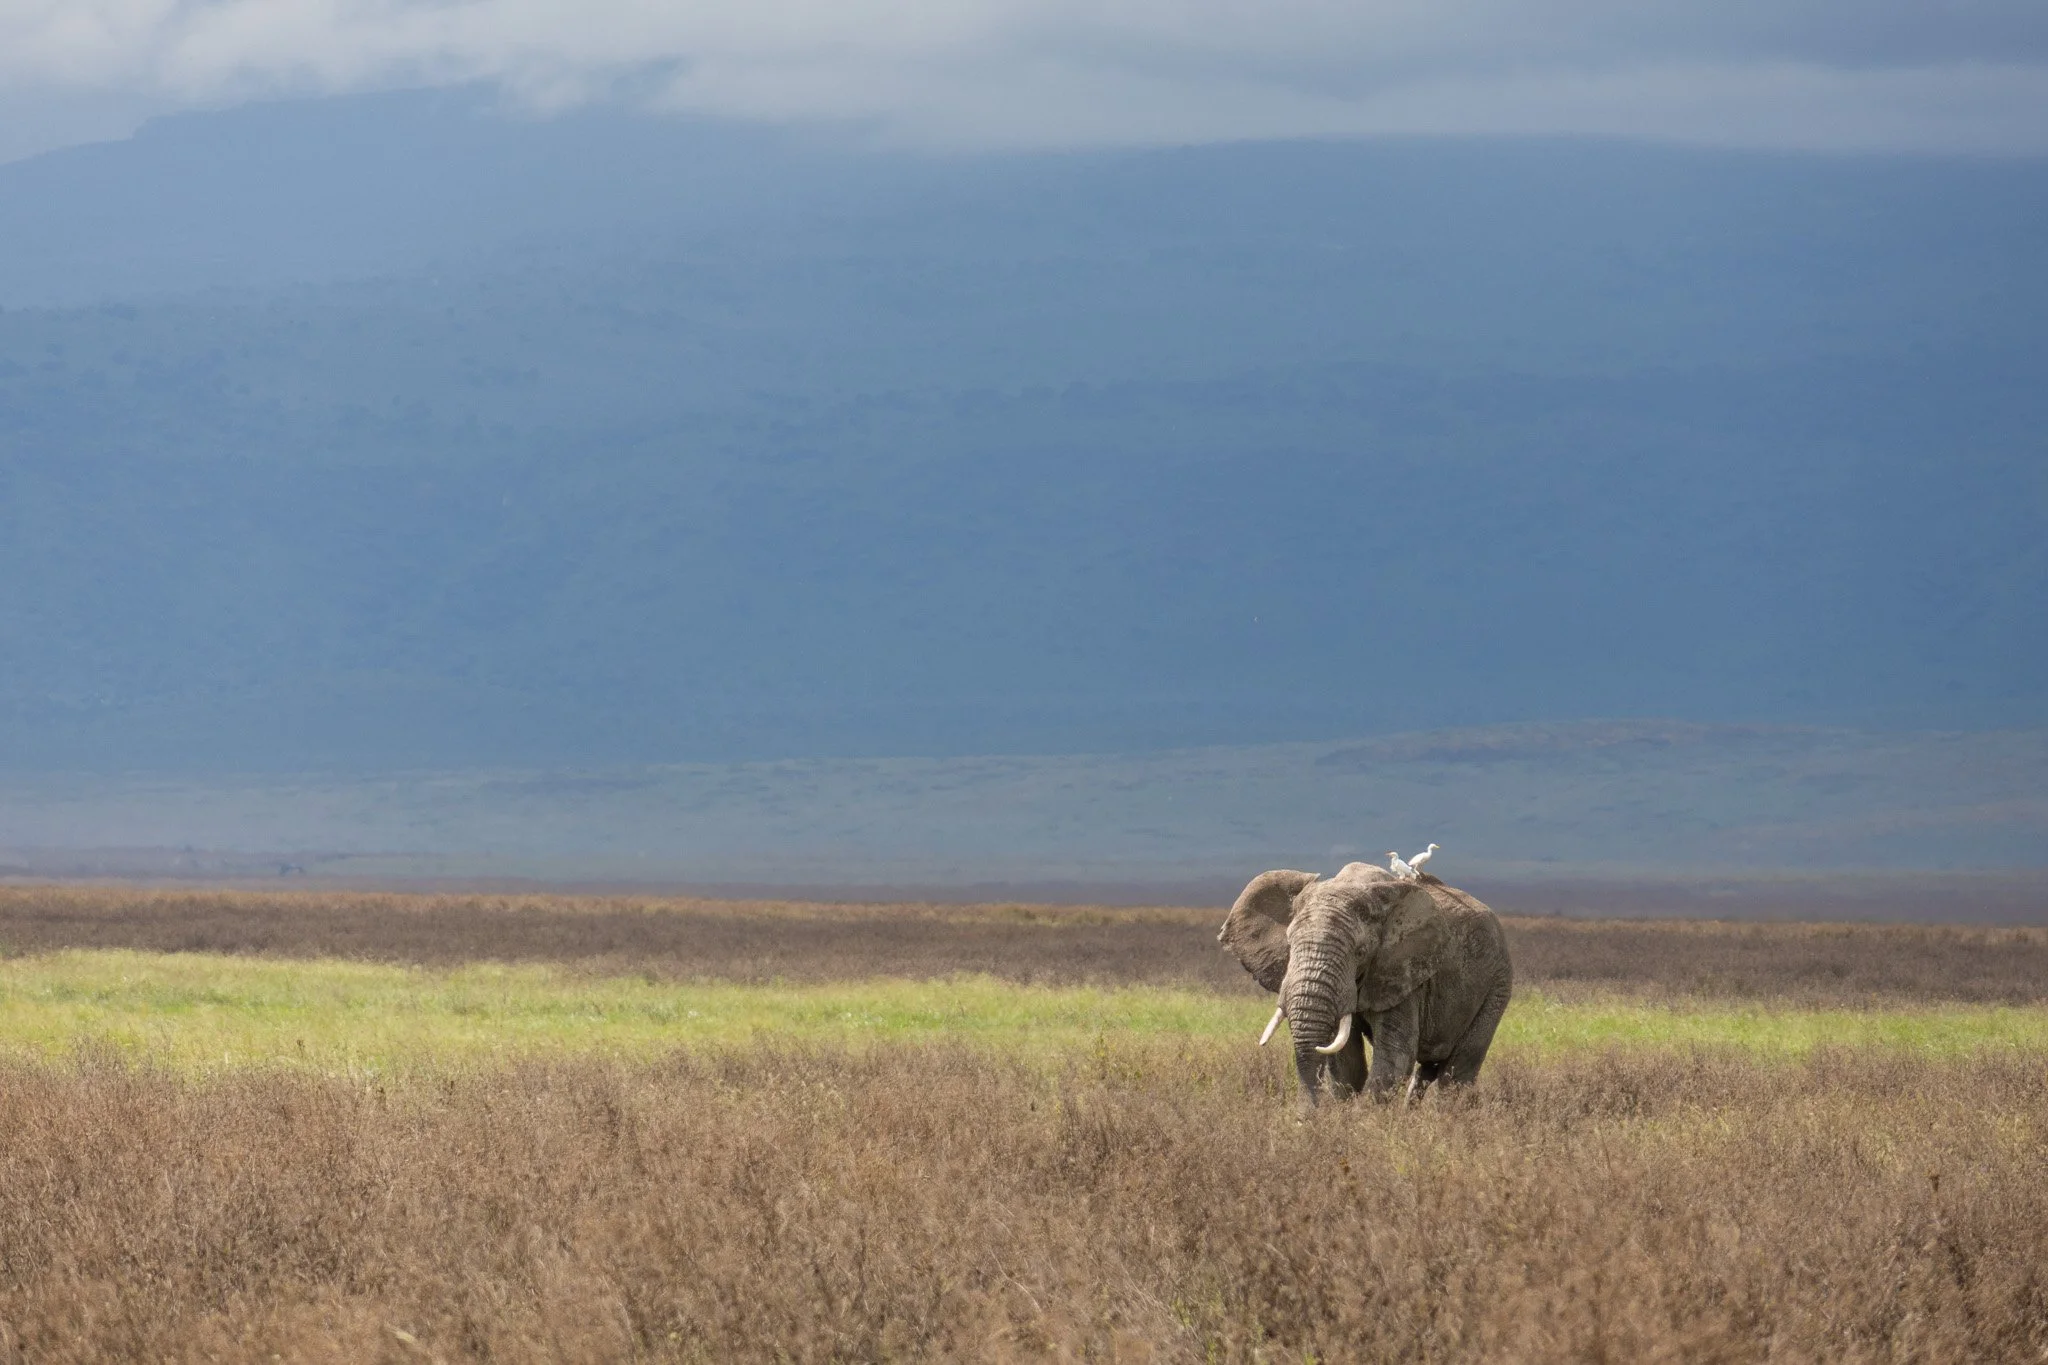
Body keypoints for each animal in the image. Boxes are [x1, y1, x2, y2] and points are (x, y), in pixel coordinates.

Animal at [1217, 861, 1512, 1104]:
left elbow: (1394, 1058)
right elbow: (1346, 1063)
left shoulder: (1404, 974)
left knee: (1457, 1073)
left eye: (1360, 952)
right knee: (1428, 1069)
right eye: (1290, 945)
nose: (1305, 1119)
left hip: (1498, 983)